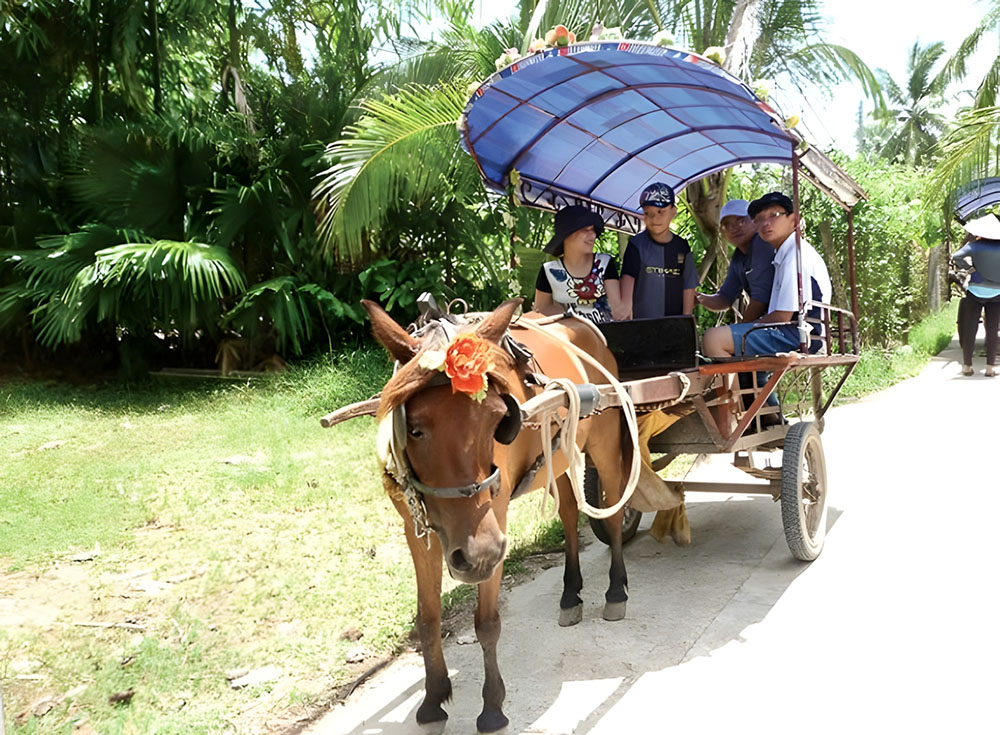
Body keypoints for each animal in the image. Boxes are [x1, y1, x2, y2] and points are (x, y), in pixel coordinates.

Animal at [360, 296, 672, 732]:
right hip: (559, 454)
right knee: (570, 515)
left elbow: (487, 622)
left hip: (605, 440)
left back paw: (615, 590)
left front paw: (493, 706)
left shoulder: (496, 523)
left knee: (611, 514)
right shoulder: (416, 529)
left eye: (497, 420)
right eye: (415, 428)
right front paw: (433, 699)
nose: (479, 554)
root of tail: (584, 324)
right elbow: (428, 617)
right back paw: (570, 594)